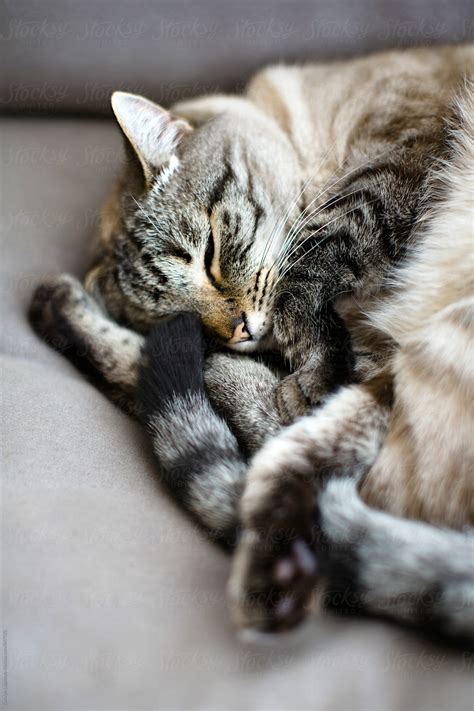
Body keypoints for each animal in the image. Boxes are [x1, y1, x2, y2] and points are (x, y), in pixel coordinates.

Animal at [30, 47, 474, 644]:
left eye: (210, 255)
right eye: (180, 317)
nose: (237, 330)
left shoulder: (402, 147)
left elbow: (322, 251)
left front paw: (308, 353)